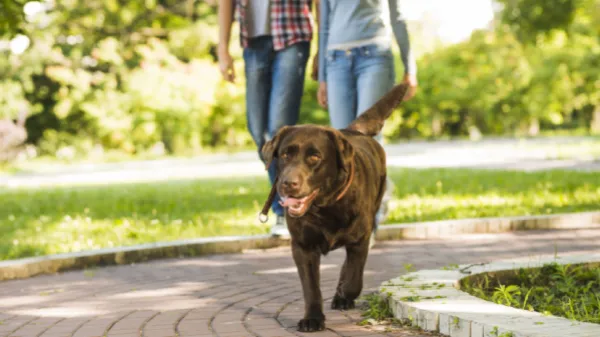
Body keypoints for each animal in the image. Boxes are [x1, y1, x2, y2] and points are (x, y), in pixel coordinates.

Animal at [258, 82, 408, 330]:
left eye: (315, 157)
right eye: (286, 154)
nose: (288, 183)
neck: (325, 208)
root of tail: (353, 131)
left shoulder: (360, 239)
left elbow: (354, 278)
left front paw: (344, 295)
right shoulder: (303, 247)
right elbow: (311, 288)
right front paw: (312, 318)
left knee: (349, 269)